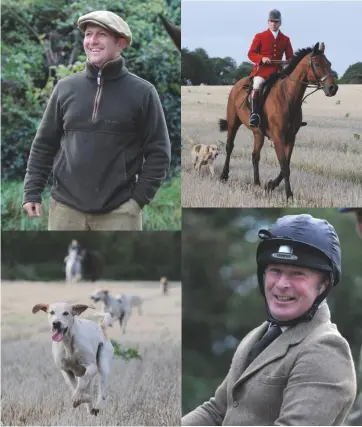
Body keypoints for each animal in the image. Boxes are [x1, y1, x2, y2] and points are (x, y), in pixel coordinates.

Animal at [218, 41, 340, 201]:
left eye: (329, 63)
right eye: (317, 64)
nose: (333, 88)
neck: (288, 98)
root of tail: (237, 84)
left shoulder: (290, 137)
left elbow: (286, 165)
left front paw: (270, 185)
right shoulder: (277, 137)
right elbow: (284, 165)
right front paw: (289, 195)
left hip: (258, 133)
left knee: (255, 156)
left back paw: (257, 183)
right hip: (233, 123)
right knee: (229, 147)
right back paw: (224, 176)